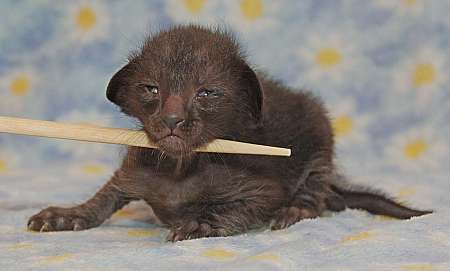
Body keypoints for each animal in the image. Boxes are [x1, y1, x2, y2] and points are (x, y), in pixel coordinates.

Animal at [26, 25, 430, 242]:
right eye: (151, 89)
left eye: (206, 93)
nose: (172, 119)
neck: (180, 169)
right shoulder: (132, 172)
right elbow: (105, 199)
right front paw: (67, 215)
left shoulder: (263, 190)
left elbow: (234, 208)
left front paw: (201, 222)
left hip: (319, 139)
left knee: (316, 192)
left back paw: (297, 209)